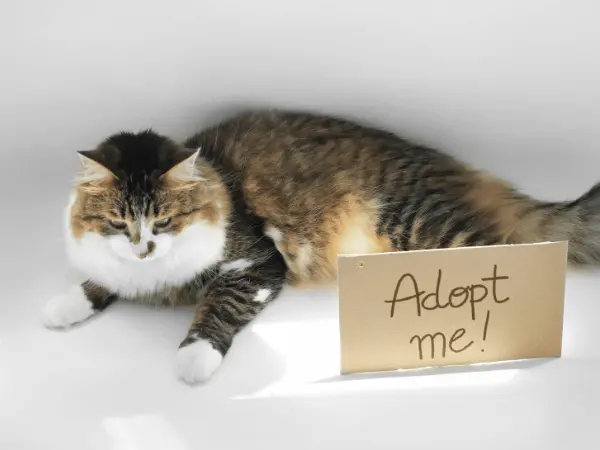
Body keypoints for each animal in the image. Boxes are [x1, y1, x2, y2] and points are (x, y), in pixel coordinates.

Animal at [44, 110, 600, 384]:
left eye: (165, 220)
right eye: (119, 224)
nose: (144, 249)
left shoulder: (256, 263)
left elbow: (218, 309)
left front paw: (193, 360)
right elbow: (99, 283)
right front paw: (61, 308)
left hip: (423, 227)